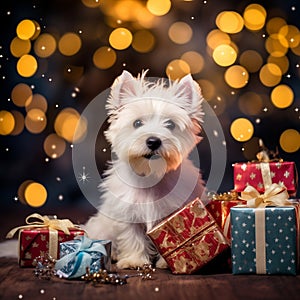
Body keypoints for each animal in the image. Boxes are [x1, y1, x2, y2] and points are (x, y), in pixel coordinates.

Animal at [84, 71, 206, 270]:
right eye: (137, 123)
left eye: (170, 125)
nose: (153, 141)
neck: (150, 176)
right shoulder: (127, 215)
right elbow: (132, 238)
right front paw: (135, 261)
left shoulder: (171, 214)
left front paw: (166, 262)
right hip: (101, 226)